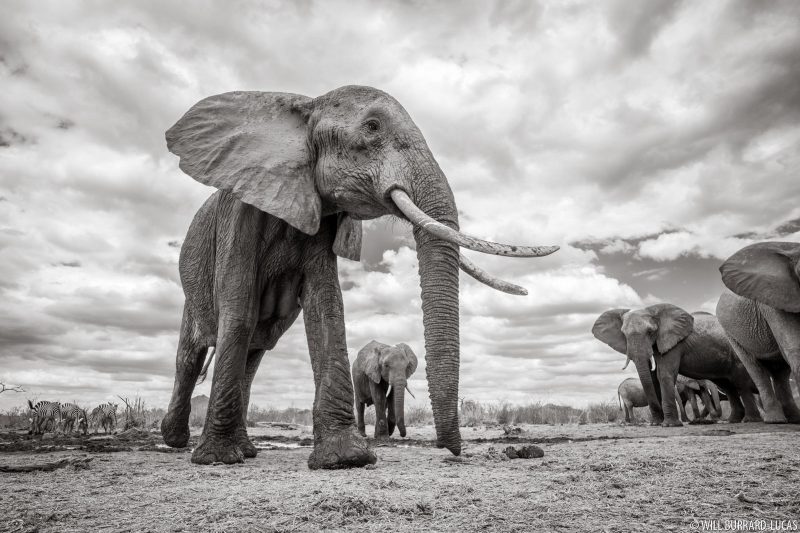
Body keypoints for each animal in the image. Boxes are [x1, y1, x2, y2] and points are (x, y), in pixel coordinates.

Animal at [159, 84, 560, 466]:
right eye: (372, 127)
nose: (453, 450)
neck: (306, 106)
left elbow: (326, 309)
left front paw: (345, 459)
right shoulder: (238, 216)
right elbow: (239, 310)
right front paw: (217, 458)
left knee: (255, 353)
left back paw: (247, 449)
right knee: (191, 355)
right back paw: (177, 440)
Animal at [592, 306, 764, 426]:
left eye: (650, 332)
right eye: (624, 334)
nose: (656, 420)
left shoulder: (674, 342)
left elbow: (664, 374)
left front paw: (668, 425)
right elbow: (654, 378)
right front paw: (658, 423)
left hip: (738, 350)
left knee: (739, 382)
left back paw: (750, 420)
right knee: (728, 385)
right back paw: (733, 420)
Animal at [716, 242, 800, 424]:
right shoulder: (774, 300)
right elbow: (795, 346)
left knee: (781, 373)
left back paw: (793, 419)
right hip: (732, 335)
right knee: (756, 369)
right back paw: (775, 420)